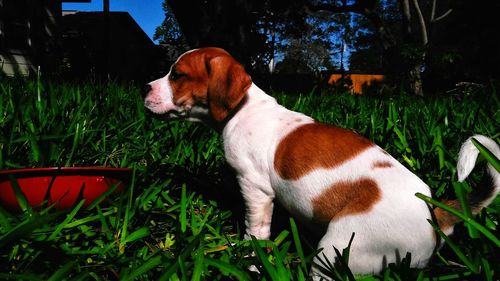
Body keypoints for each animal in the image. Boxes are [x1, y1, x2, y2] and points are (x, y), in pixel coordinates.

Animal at [145, 47, 500, 276]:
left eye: (177, 75)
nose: (144, 88)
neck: (244, 107)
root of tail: (435, 213)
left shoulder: (255, 189)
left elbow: (255, 228)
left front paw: (246, 253)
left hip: (337, 249)